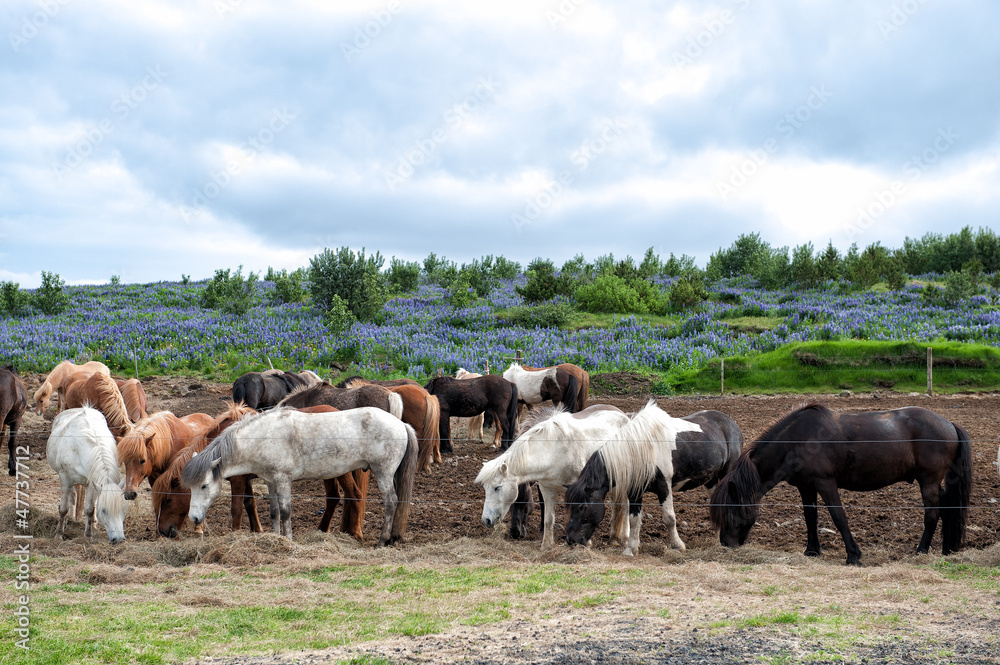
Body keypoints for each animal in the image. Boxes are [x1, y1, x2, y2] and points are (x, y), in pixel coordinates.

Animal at [46, 408, 127, 544]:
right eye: (104, 510)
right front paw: (58, 535)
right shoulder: (65, 479)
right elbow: (63, 508)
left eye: (123, 509)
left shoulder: (91, 483)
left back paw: (93, 523)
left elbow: (89, 509)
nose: (119, 539)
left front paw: (88, 535)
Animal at [182, 406, 418, 545]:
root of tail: (401, 423)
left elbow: (286, 512)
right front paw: (275, 538)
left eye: (204, 485)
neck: (263, 437)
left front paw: (288, 540)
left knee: (391, 502)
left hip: (383, 472)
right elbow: (274, 513)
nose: (194, 518)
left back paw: (382, 540)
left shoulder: (283, 480)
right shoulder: (271, 482)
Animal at [477, 404, 631, 549]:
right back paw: (613, 537)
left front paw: (586, 542)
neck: (556, 450)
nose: (486, 520)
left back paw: (624, 538)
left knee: (625, 505)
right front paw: (546, 545)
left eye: (497, 487)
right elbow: (548, 518)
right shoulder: (546, 488)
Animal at [564, 401, 702, 555]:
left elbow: (669, 518)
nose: (570, 540)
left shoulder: (664, 486)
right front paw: (631, 549)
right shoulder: (634, 491)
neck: (640, 452)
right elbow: (634, 519)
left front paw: (678, 545)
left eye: (583, 506)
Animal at [709, 404, 972, 566]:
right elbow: (810, 518)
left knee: (932, 516)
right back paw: (945, 549)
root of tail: (949, 423)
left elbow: (838, 517)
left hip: (928, 481)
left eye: (732, 510)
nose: (725, 544)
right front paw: (812, 551)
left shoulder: (825, 484)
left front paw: (853, 556)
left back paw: (920, 552)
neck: (797, 439)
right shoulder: (806, 487)